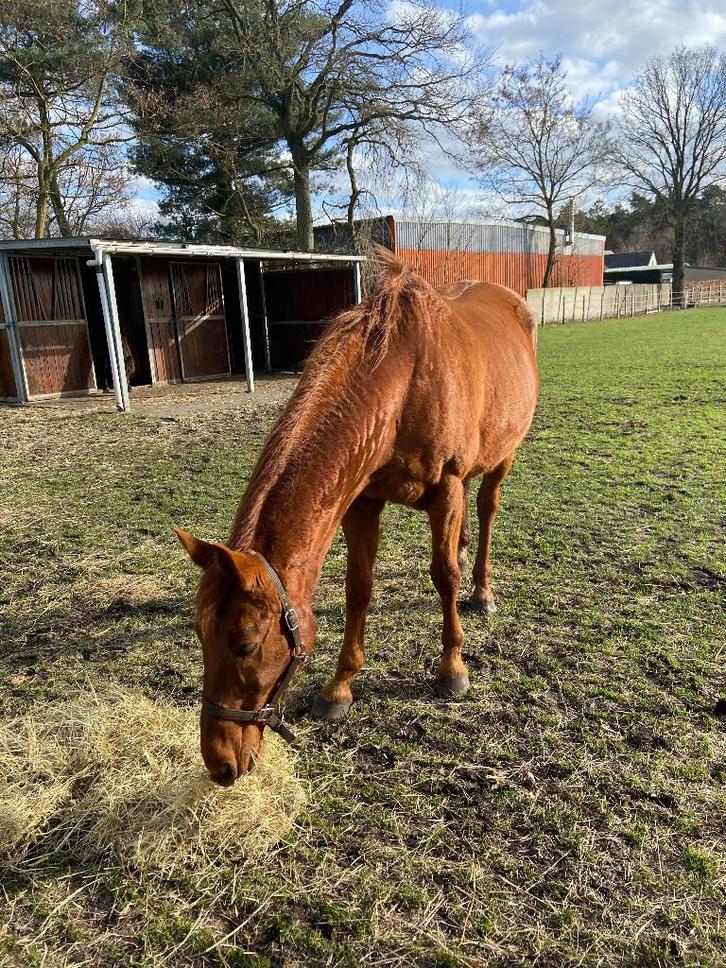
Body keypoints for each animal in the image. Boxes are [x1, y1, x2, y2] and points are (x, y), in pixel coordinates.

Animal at [176, 248, 539, 785]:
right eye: (200, 634)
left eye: (244, 645)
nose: (220, 763)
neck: (403, 385)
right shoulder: (362, 503)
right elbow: (359, 588)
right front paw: (339, 688)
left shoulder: (447, 489)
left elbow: (443, 576)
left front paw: (452, 668)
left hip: (503, 457)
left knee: (487, 509)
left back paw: (482, 590)